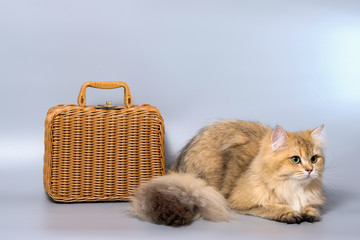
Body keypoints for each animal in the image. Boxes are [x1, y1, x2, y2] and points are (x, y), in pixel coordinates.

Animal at [130, 121, 326, 226]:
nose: (310, 170)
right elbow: (269, 207)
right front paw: (289, 212)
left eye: (314, 158)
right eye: (295, 159)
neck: (293, 188)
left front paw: (308, 211)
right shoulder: (238, 202)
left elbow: (310, 207)